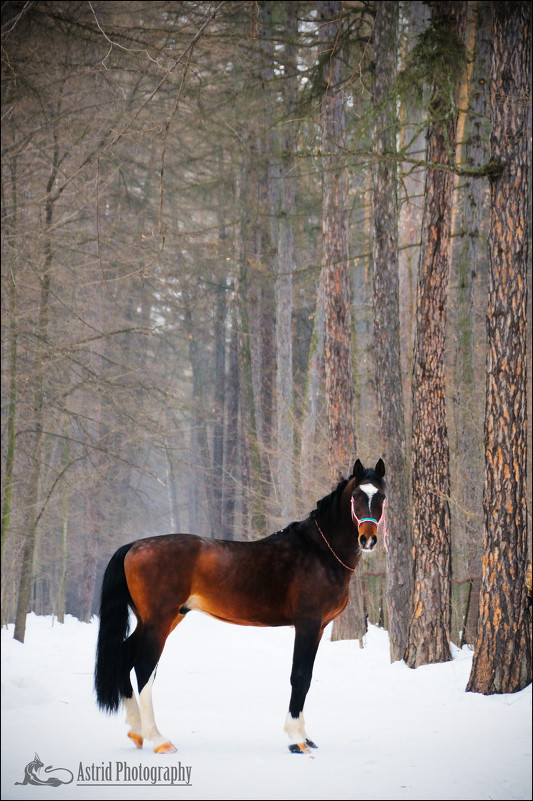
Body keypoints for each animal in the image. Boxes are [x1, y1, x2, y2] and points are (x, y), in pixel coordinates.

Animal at [95, 460, 384, 752]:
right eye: (356, 496)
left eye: (381, 496)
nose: (368, 540)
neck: (318, 552)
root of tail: (134, 546)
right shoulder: (307, 624)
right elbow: (299, 676)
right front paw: (296, 740)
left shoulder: (320, 628)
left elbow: (307, 678)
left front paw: (306, 737)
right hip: (158, 622)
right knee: (144, 668)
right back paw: (158, 739)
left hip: (158, 620)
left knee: (123, 657)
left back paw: (136, 730)